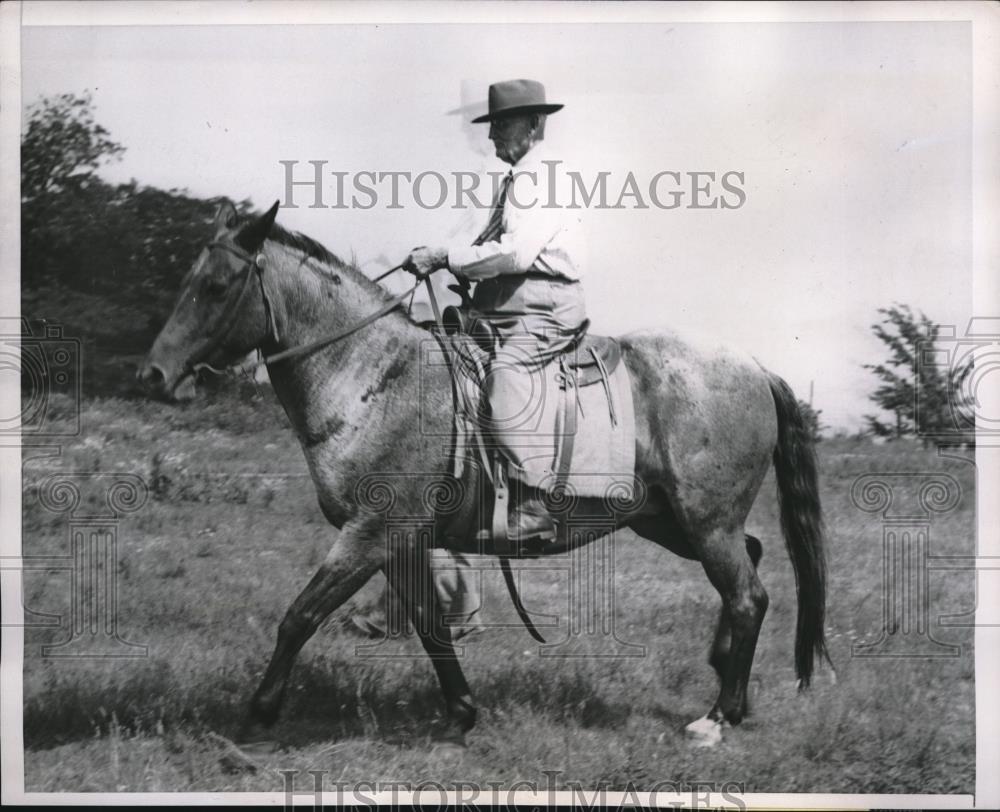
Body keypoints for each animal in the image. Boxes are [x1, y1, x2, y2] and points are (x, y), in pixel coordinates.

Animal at [141, 200, 828, 752]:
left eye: (218, 284)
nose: (154, 375)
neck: (373, 377)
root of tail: (754, 367)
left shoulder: (369, 533)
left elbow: (300, 617)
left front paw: (256, 718)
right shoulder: (402, 541)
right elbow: (430, 626)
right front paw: (461, 714)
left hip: (706, 523)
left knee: (748, 596)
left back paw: (717, 716)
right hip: (670, 521)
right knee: (752, 563)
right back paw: (730, 688)